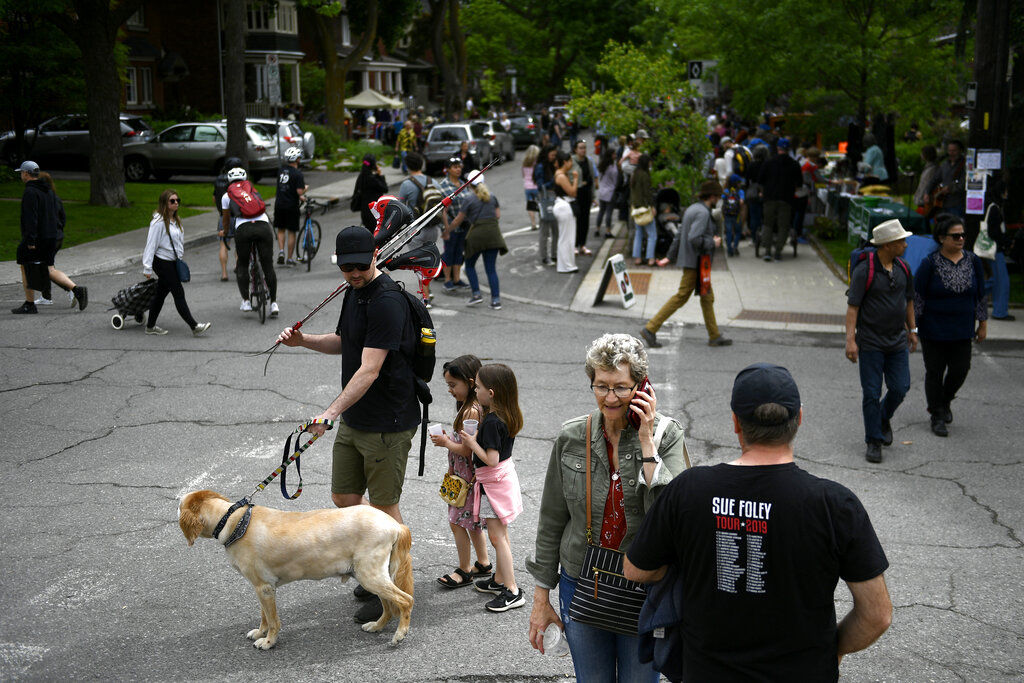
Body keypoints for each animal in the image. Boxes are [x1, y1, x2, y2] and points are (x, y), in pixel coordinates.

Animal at [178, 489, 413, 651]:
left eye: (179, 505)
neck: (235, 521)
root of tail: (394, 524)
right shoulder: (262, 587)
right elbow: (264, 616)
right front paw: (260, 633)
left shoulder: (264, 588)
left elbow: (273, 620)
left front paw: (269, 641)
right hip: (368, 575)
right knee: (389, 607)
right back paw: (377, 626)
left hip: (370, 575)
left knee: (405, 600)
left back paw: (400, 634)